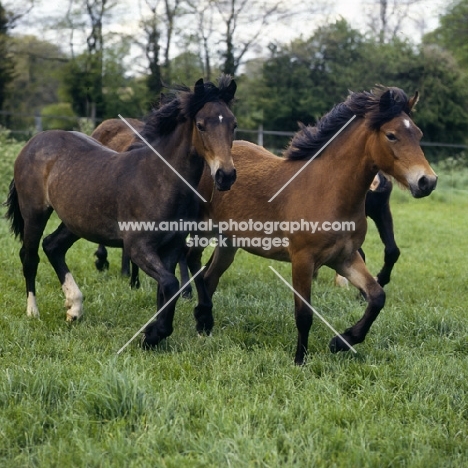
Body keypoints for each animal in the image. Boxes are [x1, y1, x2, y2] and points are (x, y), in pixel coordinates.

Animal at [186, 87, 438, 366]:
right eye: (391, 135)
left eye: (418, 134)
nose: (427, 181)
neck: (326, 192)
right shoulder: (303, 260)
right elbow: (304, 314)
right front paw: (299, 361)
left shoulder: (345, 258)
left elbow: (377, 297)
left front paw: (341, 341)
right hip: (202, 229)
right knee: (192, 261)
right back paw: (201, 315)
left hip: (229, 242)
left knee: (210, 276)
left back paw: (204, 326)